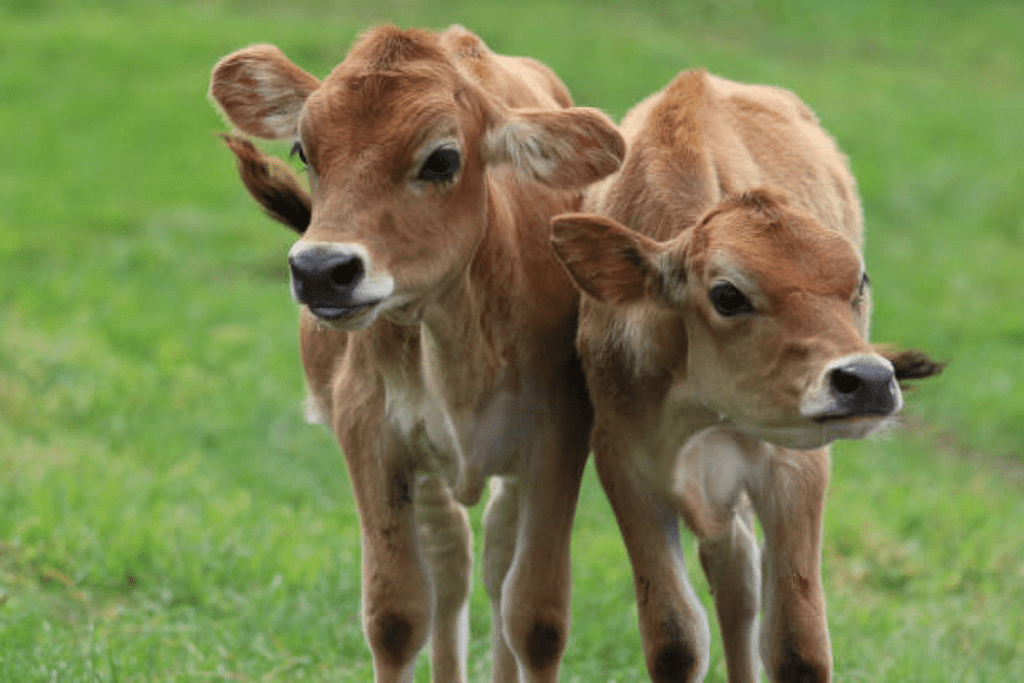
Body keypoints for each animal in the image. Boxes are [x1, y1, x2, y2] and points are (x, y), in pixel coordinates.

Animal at [208, 25, 624, 683]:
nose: (322, 270)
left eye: (442, 159)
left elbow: (535, 616)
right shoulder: (370, 432)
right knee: (452, 564)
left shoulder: (560, 432)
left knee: (496, 563)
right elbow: (397, 615)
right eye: (303, 150)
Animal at [549, 69, 943, 683]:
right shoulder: (623, 460)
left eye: (859, 281)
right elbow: (674, 636)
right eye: (728, 294)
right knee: (733, 580)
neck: (698, 409)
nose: (868, 379)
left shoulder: (796, 466)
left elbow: (796, 644)